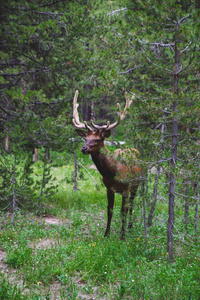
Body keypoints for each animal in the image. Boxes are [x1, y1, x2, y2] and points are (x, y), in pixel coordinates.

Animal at [72, 89, 141, 239]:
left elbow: (123, 211)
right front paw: (106, 234)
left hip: (138, 184)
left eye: (97, 139)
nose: (83, 148)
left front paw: (122, 236)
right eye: (85, 138)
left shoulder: (126, 188)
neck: (112, 172)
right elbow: (109, 211)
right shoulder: (109, 188)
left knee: (131, 205)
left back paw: (130, 226)